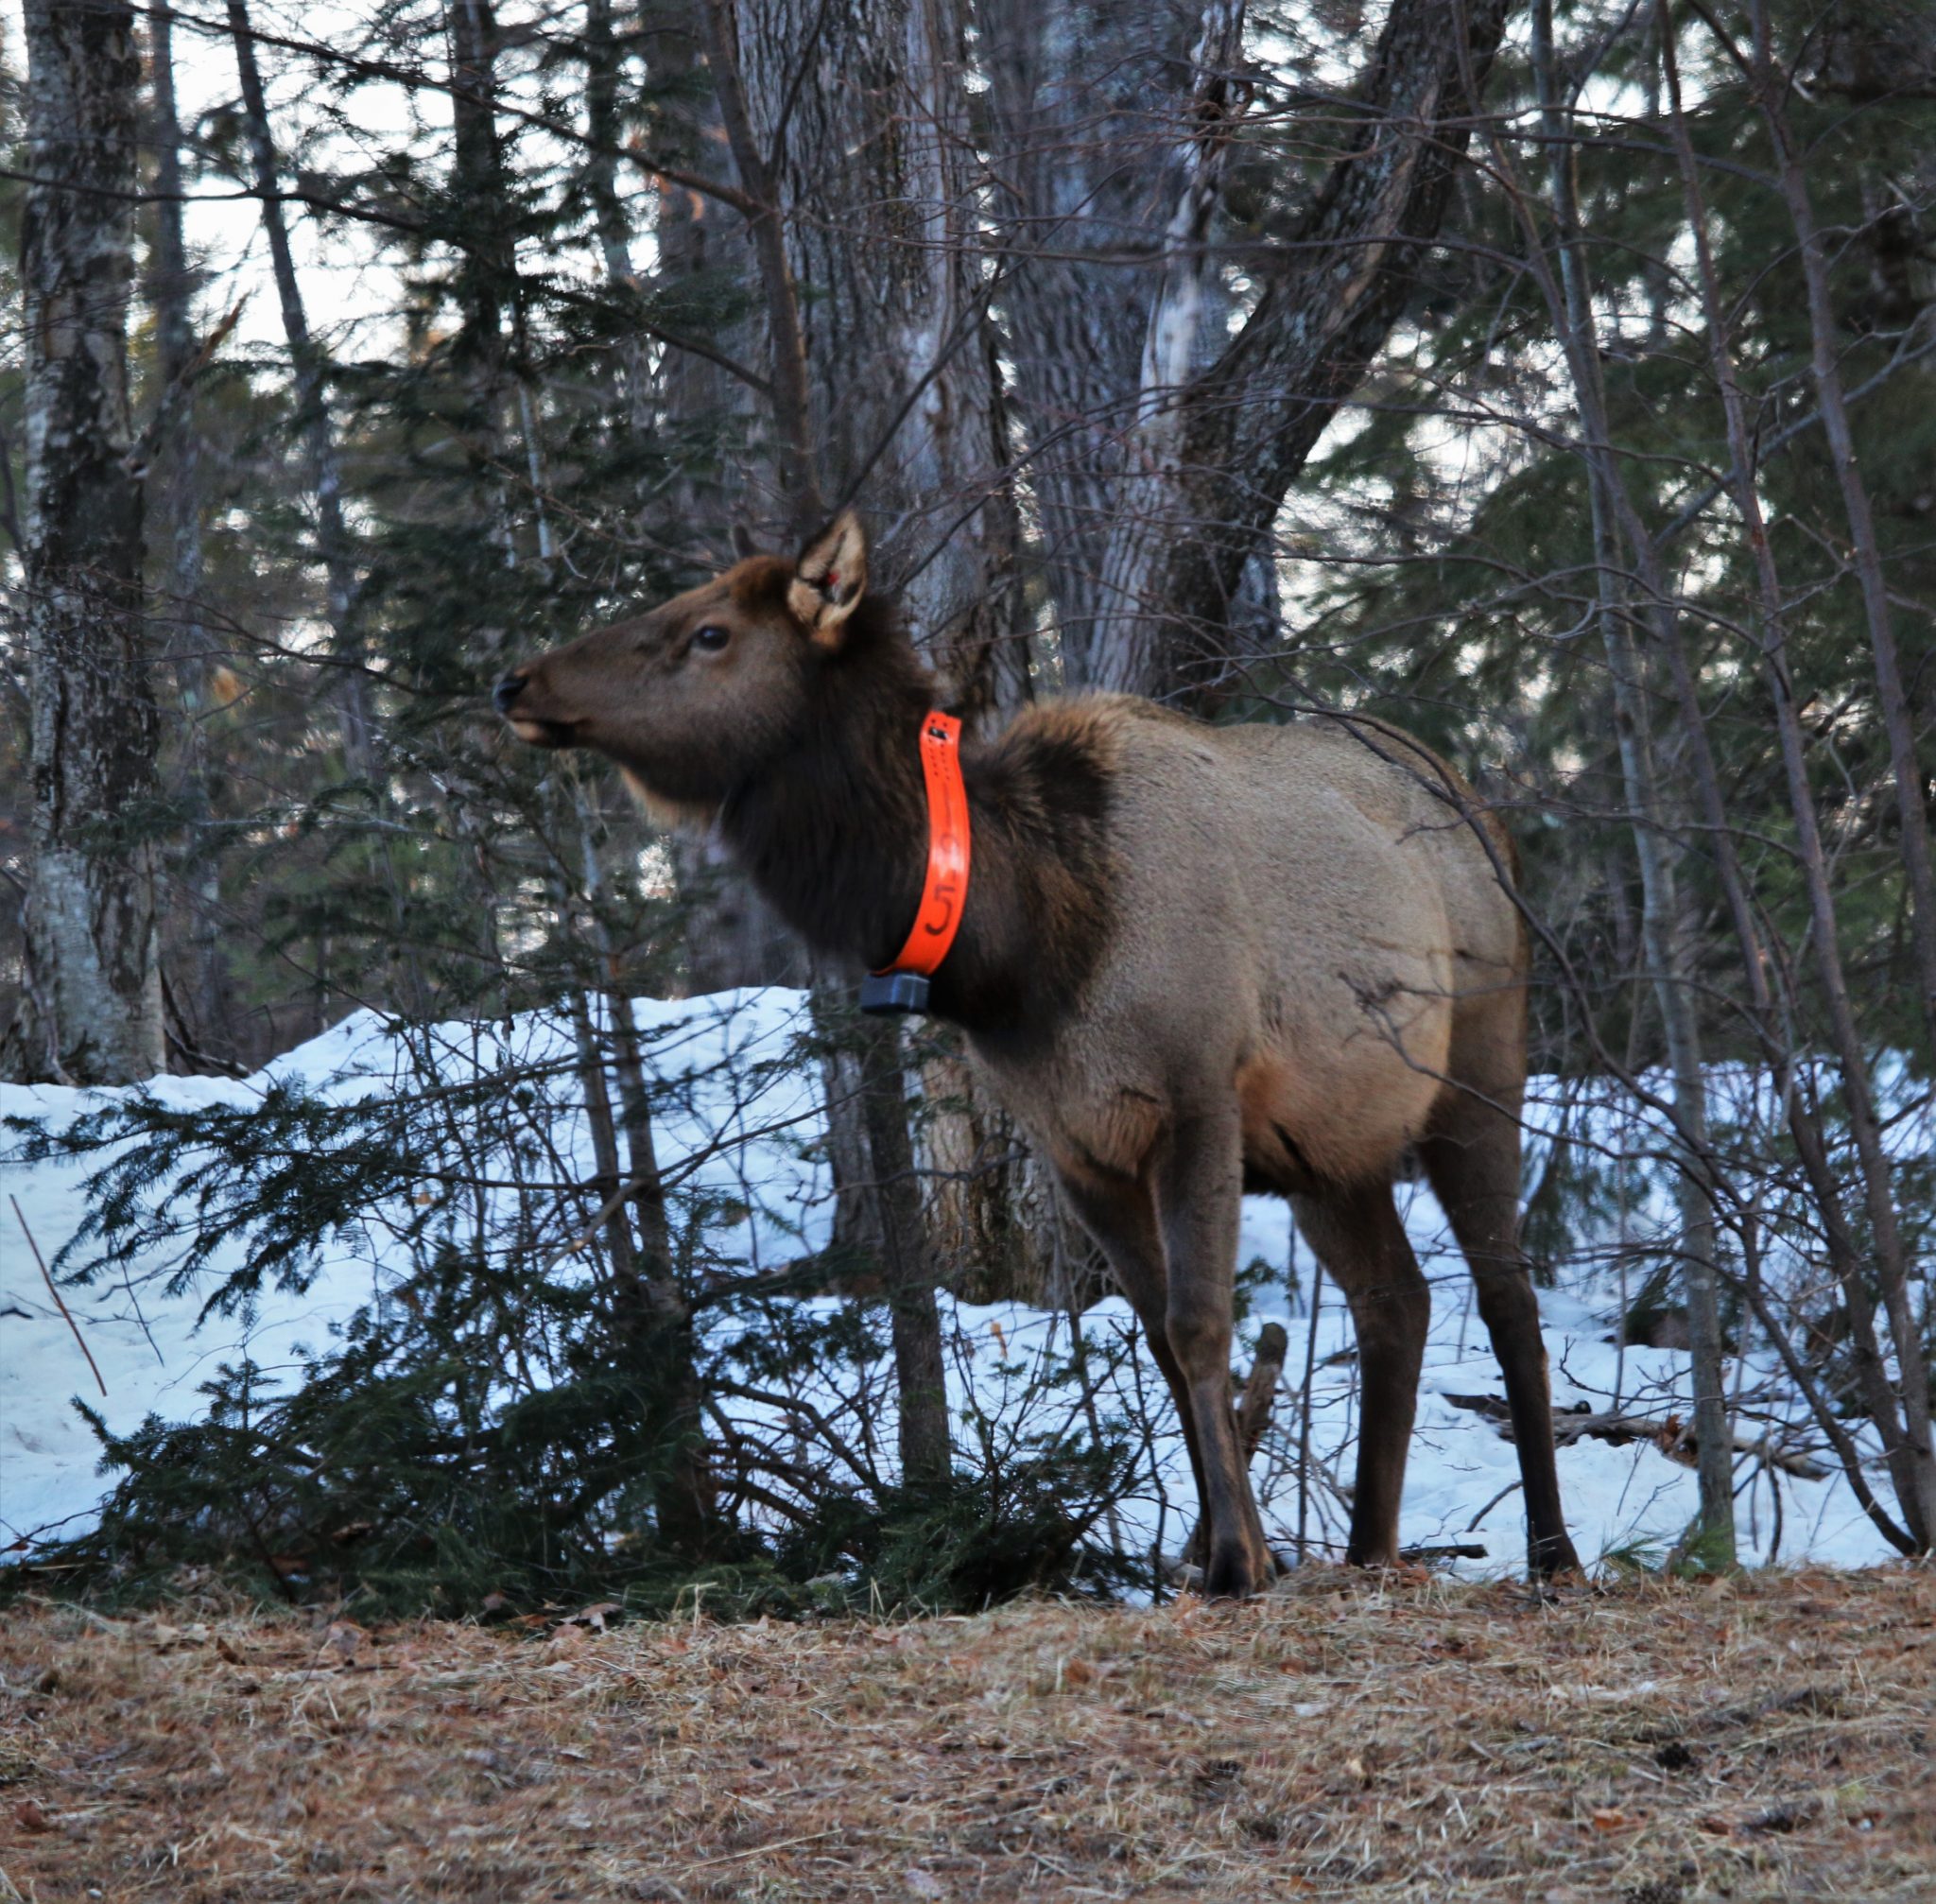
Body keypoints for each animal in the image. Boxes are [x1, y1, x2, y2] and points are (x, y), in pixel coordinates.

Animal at [495, 511, 1583, 1596]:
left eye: (710, 632)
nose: (517, 681)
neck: (1022, 946)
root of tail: (1486, 815)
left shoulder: (1198, 1094)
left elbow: (1199, 1324)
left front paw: (1238, 1560)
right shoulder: (1076, 1146)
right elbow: (1159, 1339)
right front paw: (1215, 1552)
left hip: (1479, 1067)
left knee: (1508, 1297)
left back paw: (1552, 1550)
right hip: (1328, 1145)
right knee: (1396, 1300)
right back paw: (1366, 1550)